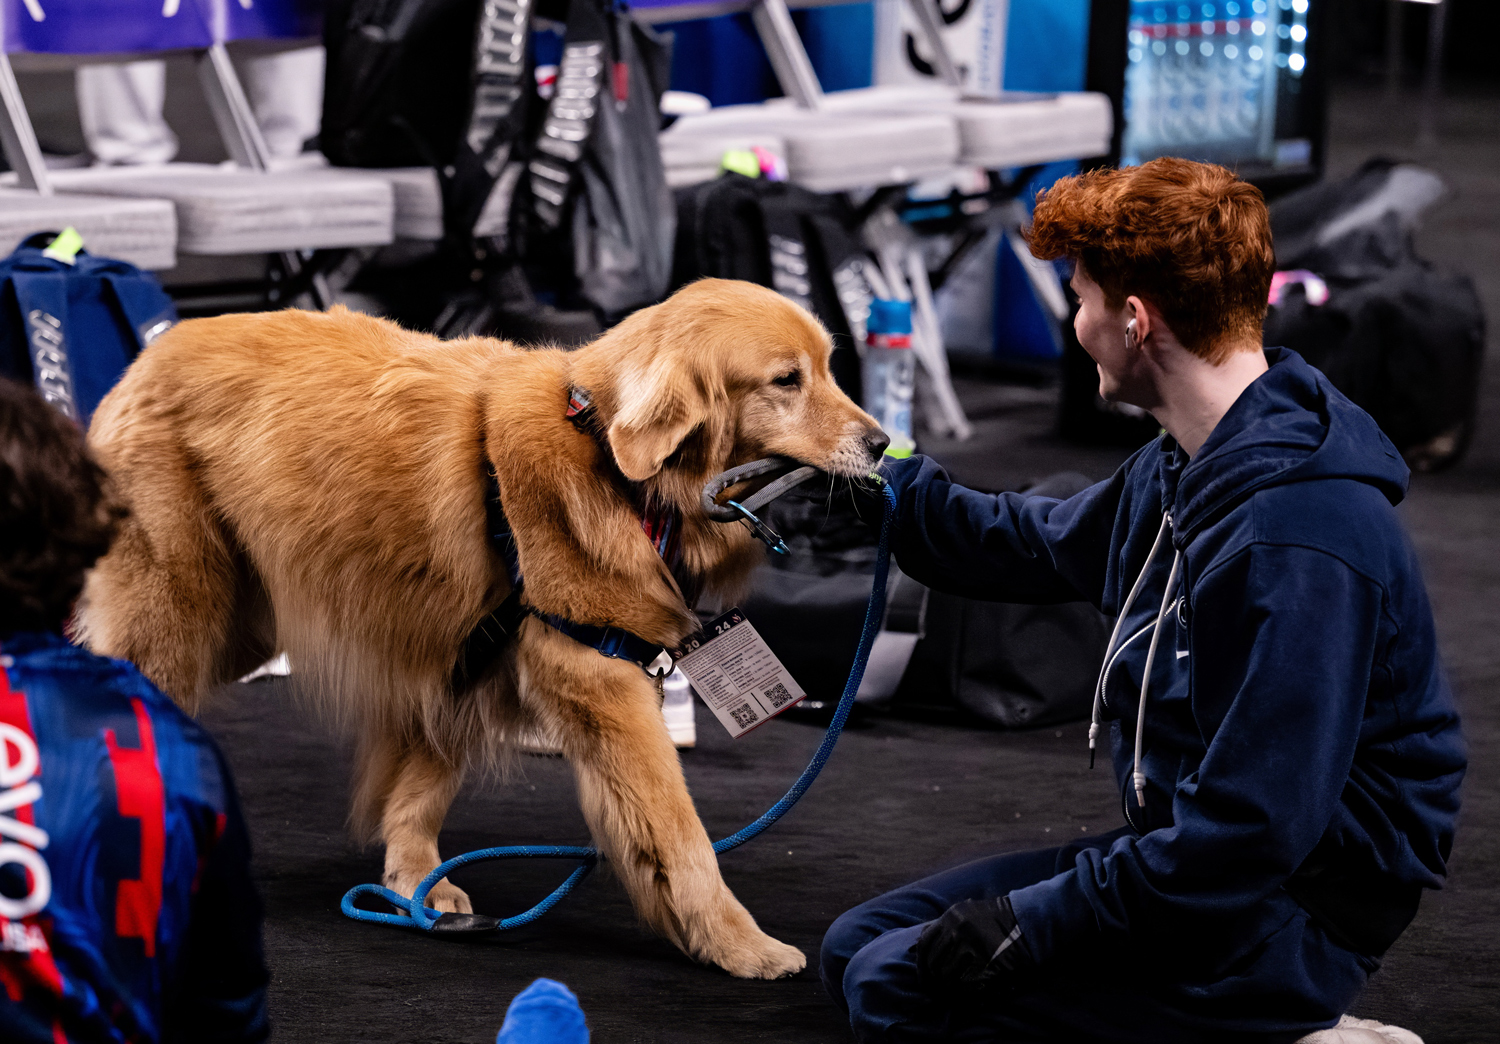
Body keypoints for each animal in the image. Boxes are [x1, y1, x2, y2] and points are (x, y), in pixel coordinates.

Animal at [79, 277, 888, 978]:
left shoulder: (459, 660)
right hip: (179, 615)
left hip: (238, 626)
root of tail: (147, 356)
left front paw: (416, 887)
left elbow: (420, 791)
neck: (611, 464)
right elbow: (679, 832)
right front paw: (736, 943)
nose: (884, 444)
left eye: (829, 368)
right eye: (787, 380)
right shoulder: (601, 679)